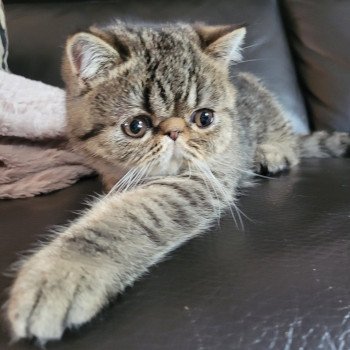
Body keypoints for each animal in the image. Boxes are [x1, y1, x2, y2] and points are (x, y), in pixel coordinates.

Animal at [3, 22, 350, 344]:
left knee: (290, 143)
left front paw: (61, 273)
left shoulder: (201, 181)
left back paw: (272, 152)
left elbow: (128, 217)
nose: (174, 131)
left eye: (204, 118)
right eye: (136, 126)